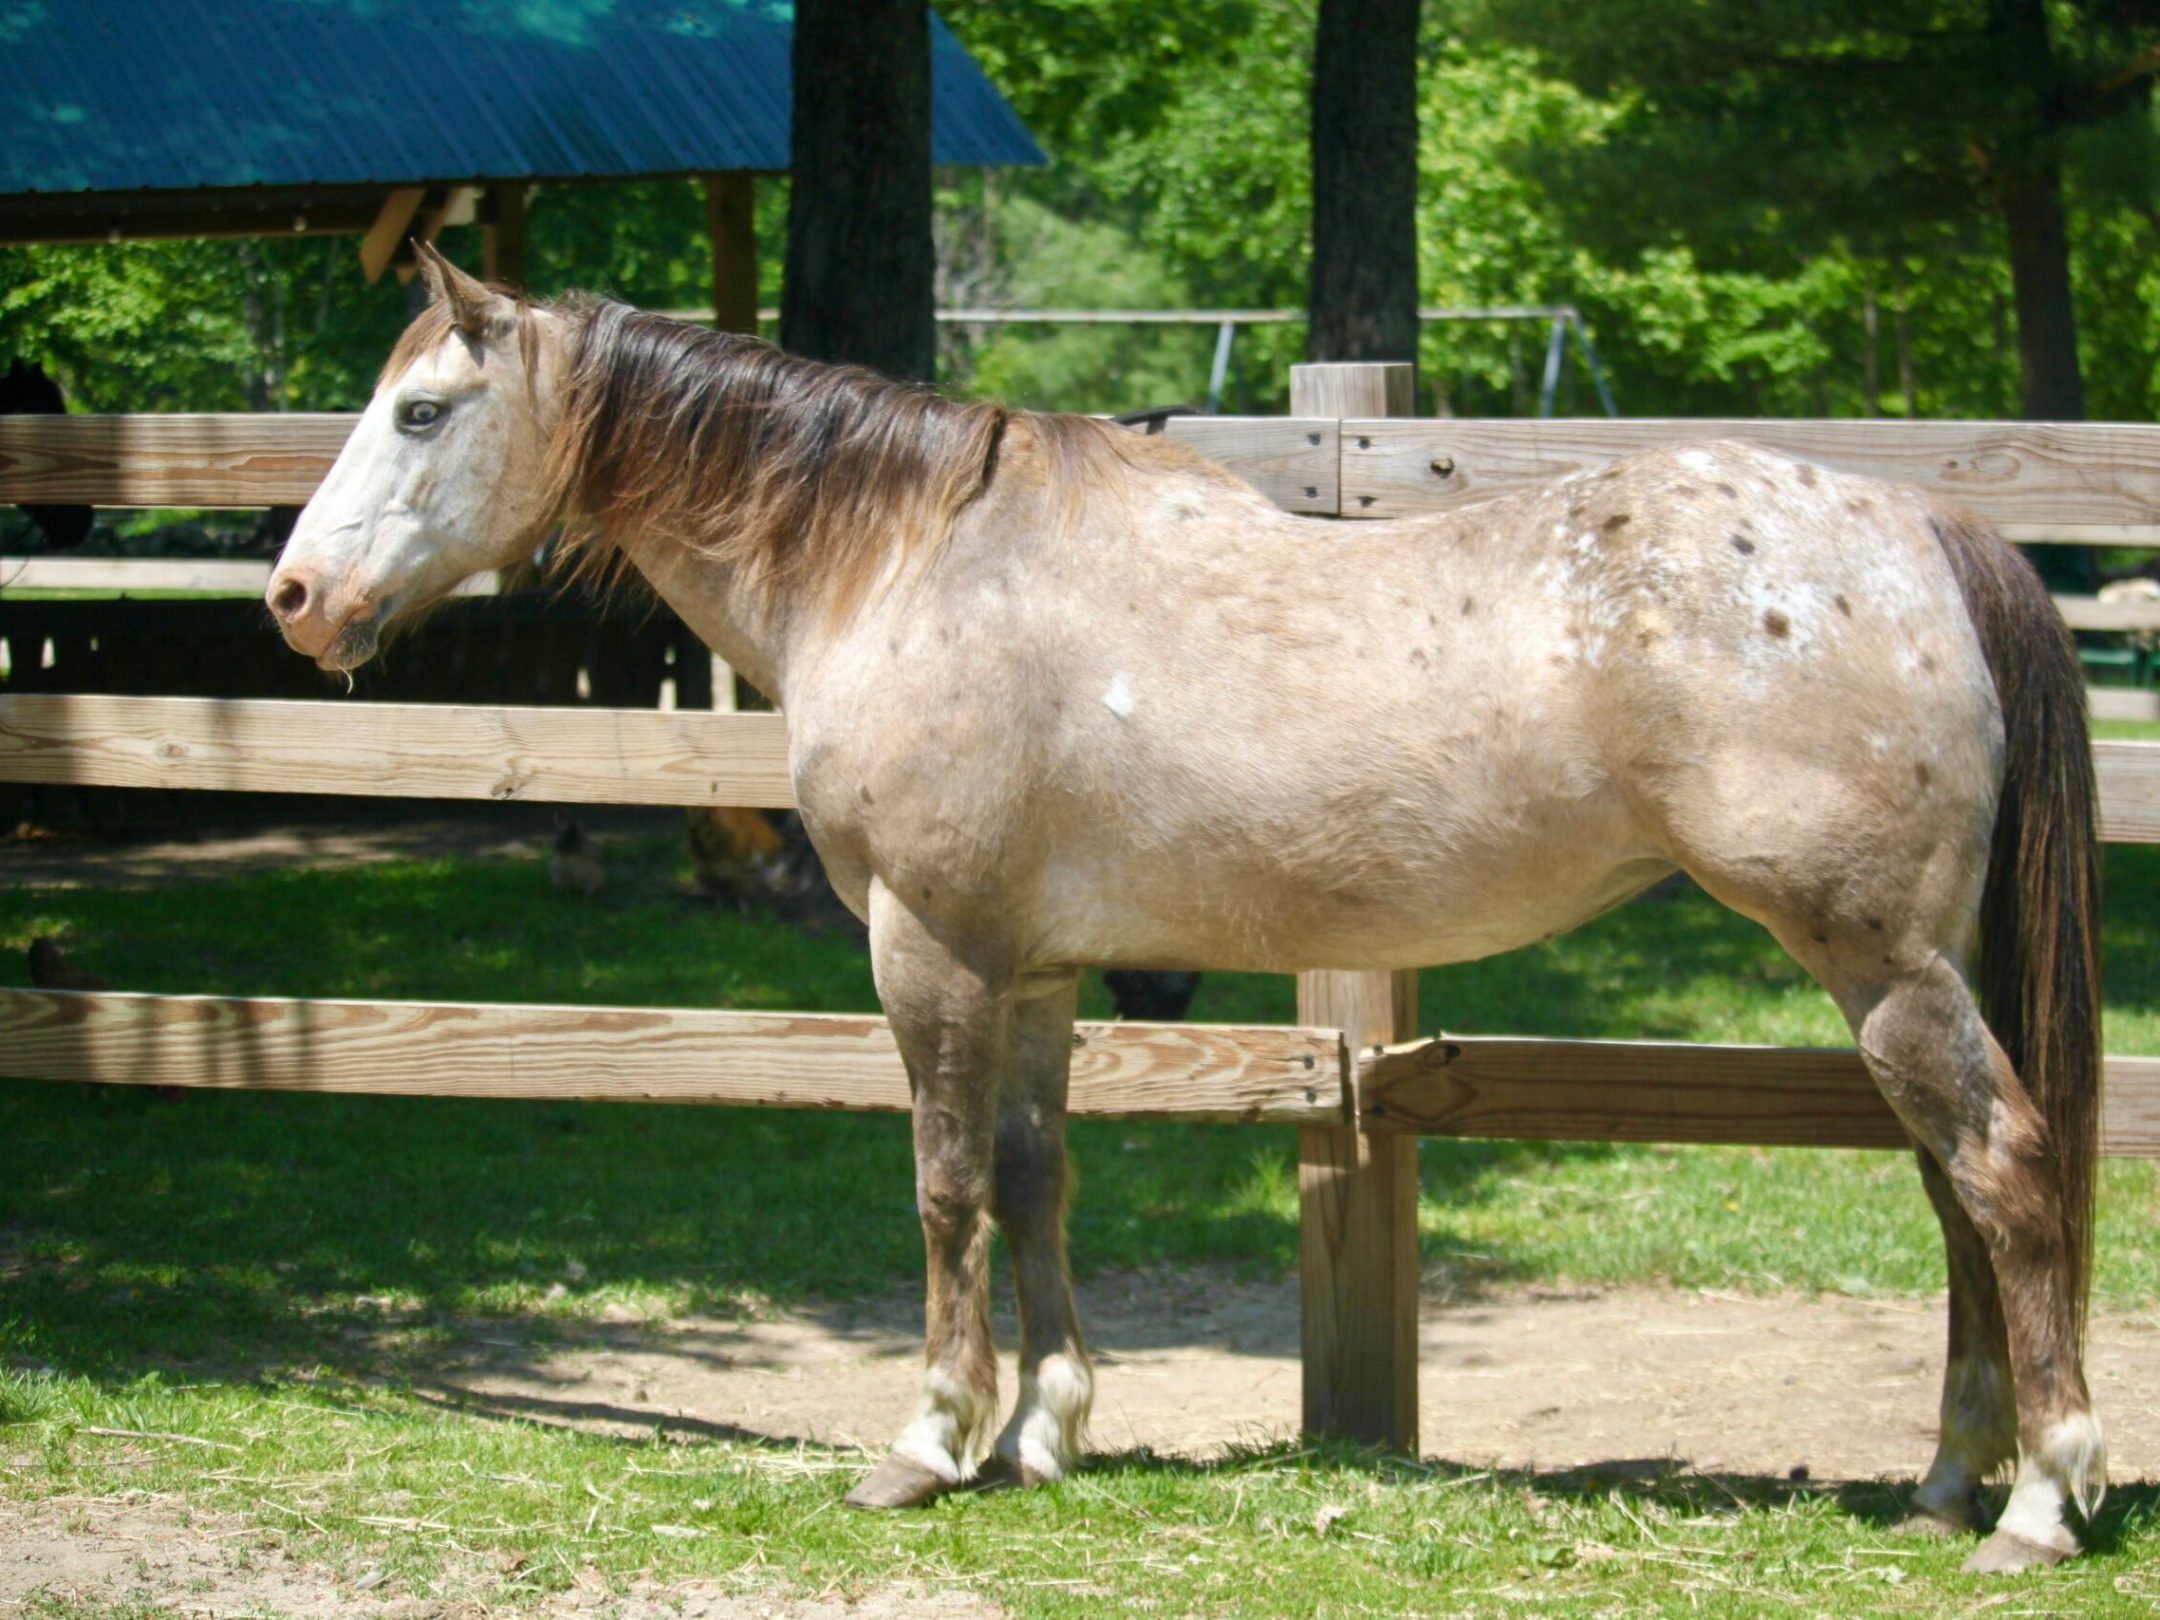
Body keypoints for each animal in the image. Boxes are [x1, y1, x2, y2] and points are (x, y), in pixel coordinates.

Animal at [265, 244, 2103, 1573]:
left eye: (421, 412)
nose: (295, 597)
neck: (913, 565)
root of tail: (1927, 528)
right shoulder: (1036, 972)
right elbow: (1034, 1178)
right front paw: (1046, 1429)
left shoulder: (928, 949)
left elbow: (942, 1186)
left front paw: (928, 1441)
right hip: (1903, 970)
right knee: (1954, 1193)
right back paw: (1949, 1478)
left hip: (1880, 964)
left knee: (2005, 1172)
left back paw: (2037, 1499)